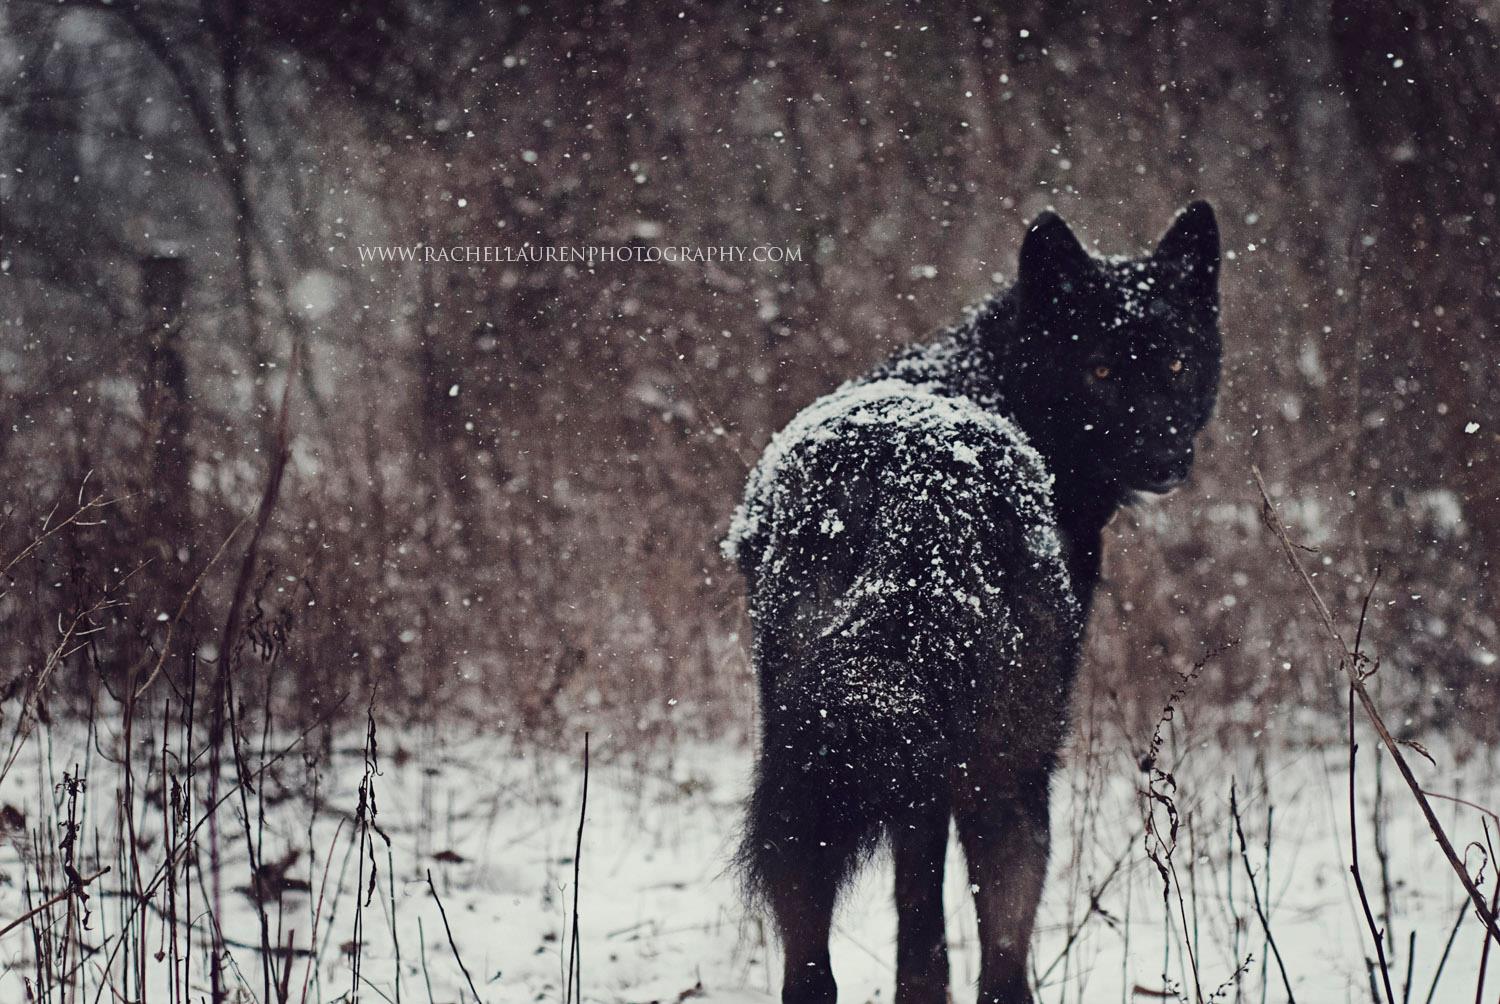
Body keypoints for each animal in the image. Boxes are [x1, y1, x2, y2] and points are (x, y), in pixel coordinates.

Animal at [723, 204, 1218, 1002]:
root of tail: (919, 487)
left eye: (1174, 364)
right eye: (1101, 369)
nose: (1165, 459)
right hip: (1007, 776)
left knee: (823, 967)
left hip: (817, 776)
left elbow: (919, 924)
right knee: (995, 962)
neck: (996, 379)